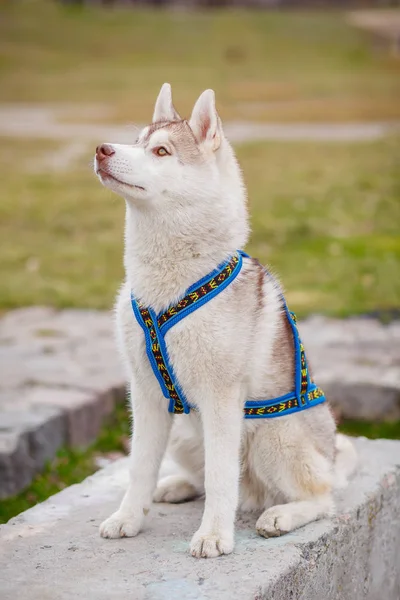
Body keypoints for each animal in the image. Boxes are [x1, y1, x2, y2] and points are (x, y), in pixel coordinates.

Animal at [94, 83, 356, 556]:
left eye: (161, 151)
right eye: (136, 141)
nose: (102, 149)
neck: (169, 287)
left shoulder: (220, 399)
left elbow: (220, 477)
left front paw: (214, 535)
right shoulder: (144, 394)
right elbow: (139, 466)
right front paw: (128, 518)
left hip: (272, 434)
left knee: (320, 498)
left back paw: (282, 514)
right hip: (184, 432)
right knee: (206, 477)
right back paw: (176, 485)